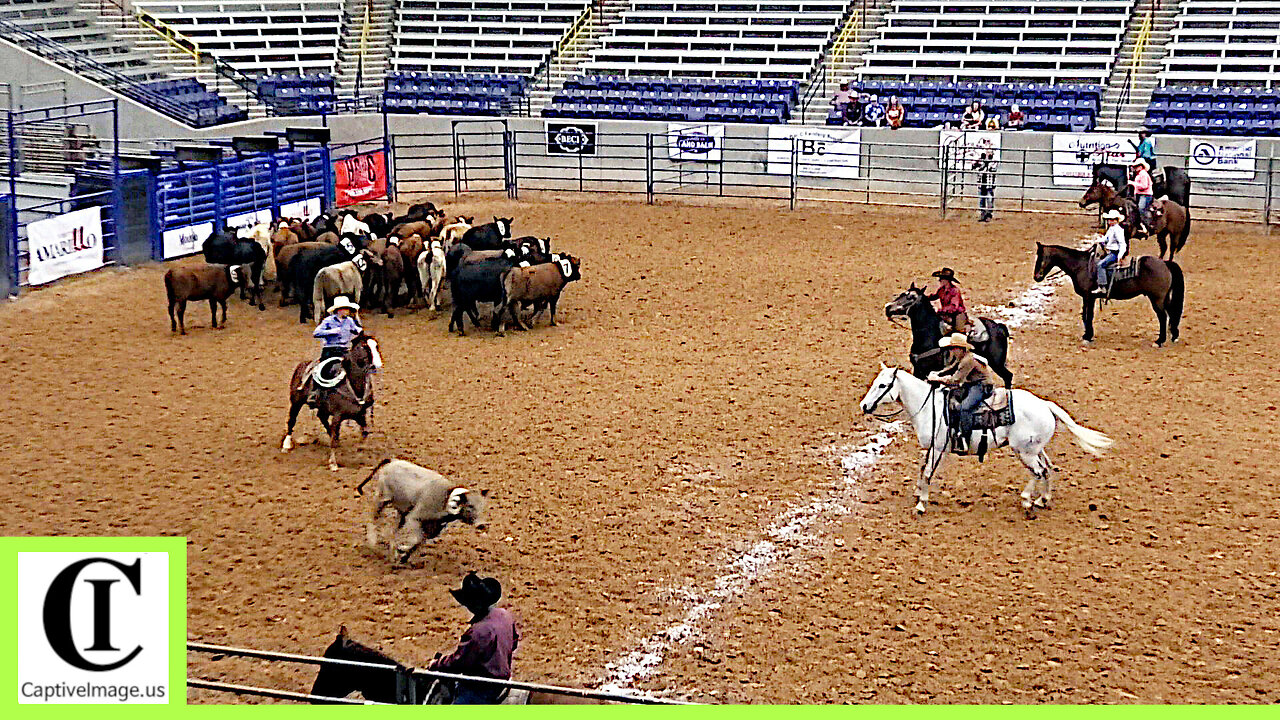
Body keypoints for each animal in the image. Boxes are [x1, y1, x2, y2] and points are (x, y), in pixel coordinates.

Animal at [280, 333, 378, 468]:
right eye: (363, 346)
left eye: (376, 346)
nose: (375, 365)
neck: (352, 386)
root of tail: (303, 364)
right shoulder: (337, 416)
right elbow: (333, 435)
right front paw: (333, 463)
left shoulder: (360, 415)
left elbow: (364, 433)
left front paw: (360, 454)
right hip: (296, 402)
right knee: (292, 420)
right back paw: (286, 444)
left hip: (322, 408)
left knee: (322, 417)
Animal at [860, 363, 1111, 515]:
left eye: (883, 385)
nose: (864, 406)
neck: (929, 407)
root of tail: (1045, 405)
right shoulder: (932, 448)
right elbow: (924, 470)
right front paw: (918, 493)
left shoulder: (937, 448)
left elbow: (928, 472)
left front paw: (921, 504)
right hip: (1036, 449)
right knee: (1047, 468)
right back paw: (1042, 499)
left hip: (1025, 452)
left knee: (1037, 471)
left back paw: (1027, 499)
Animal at [880, 284, 1008, 386]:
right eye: (902, 293)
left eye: (911, 297)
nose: (888, 307)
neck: (929, 337)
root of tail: (999, 326)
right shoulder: (918, 371)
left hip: (997, 363)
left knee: (1008, 376)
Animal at [1034, 242, 1182, 345]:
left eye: (1040, 257)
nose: (1036, 277)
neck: (1081, 266)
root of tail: (1165, 263)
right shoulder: (1090, 297)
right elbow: (1087, 315)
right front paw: (1088, 335)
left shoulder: (1088, 296)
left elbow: (1088, 316)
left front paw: (1087, 337)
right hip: (1164, 298)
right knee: (1171, 314)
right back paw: (1173, 336)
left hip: (1157, 299)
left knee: (1163, 316)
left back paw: (1159, 341)